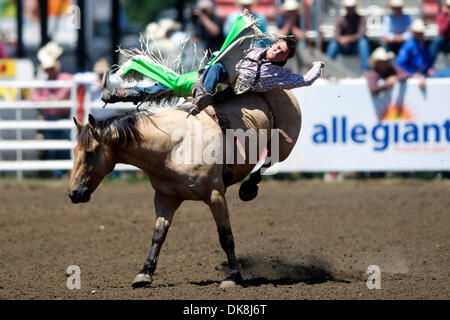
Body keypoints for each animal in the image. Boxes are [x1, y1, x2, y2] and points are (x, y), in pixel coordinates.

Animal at [67, 89, 302, 288]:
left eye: (89, 153)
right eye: (74, 151)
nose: (73, 193)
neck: (171, 147)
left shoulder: (215, 195)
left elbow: (225, 237)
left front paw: (233, 276)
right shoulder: (165, 198)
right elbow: (158, 235)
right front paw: (144, 273)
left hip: (283, 147)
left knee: (269, 161)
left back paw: (248, 189)